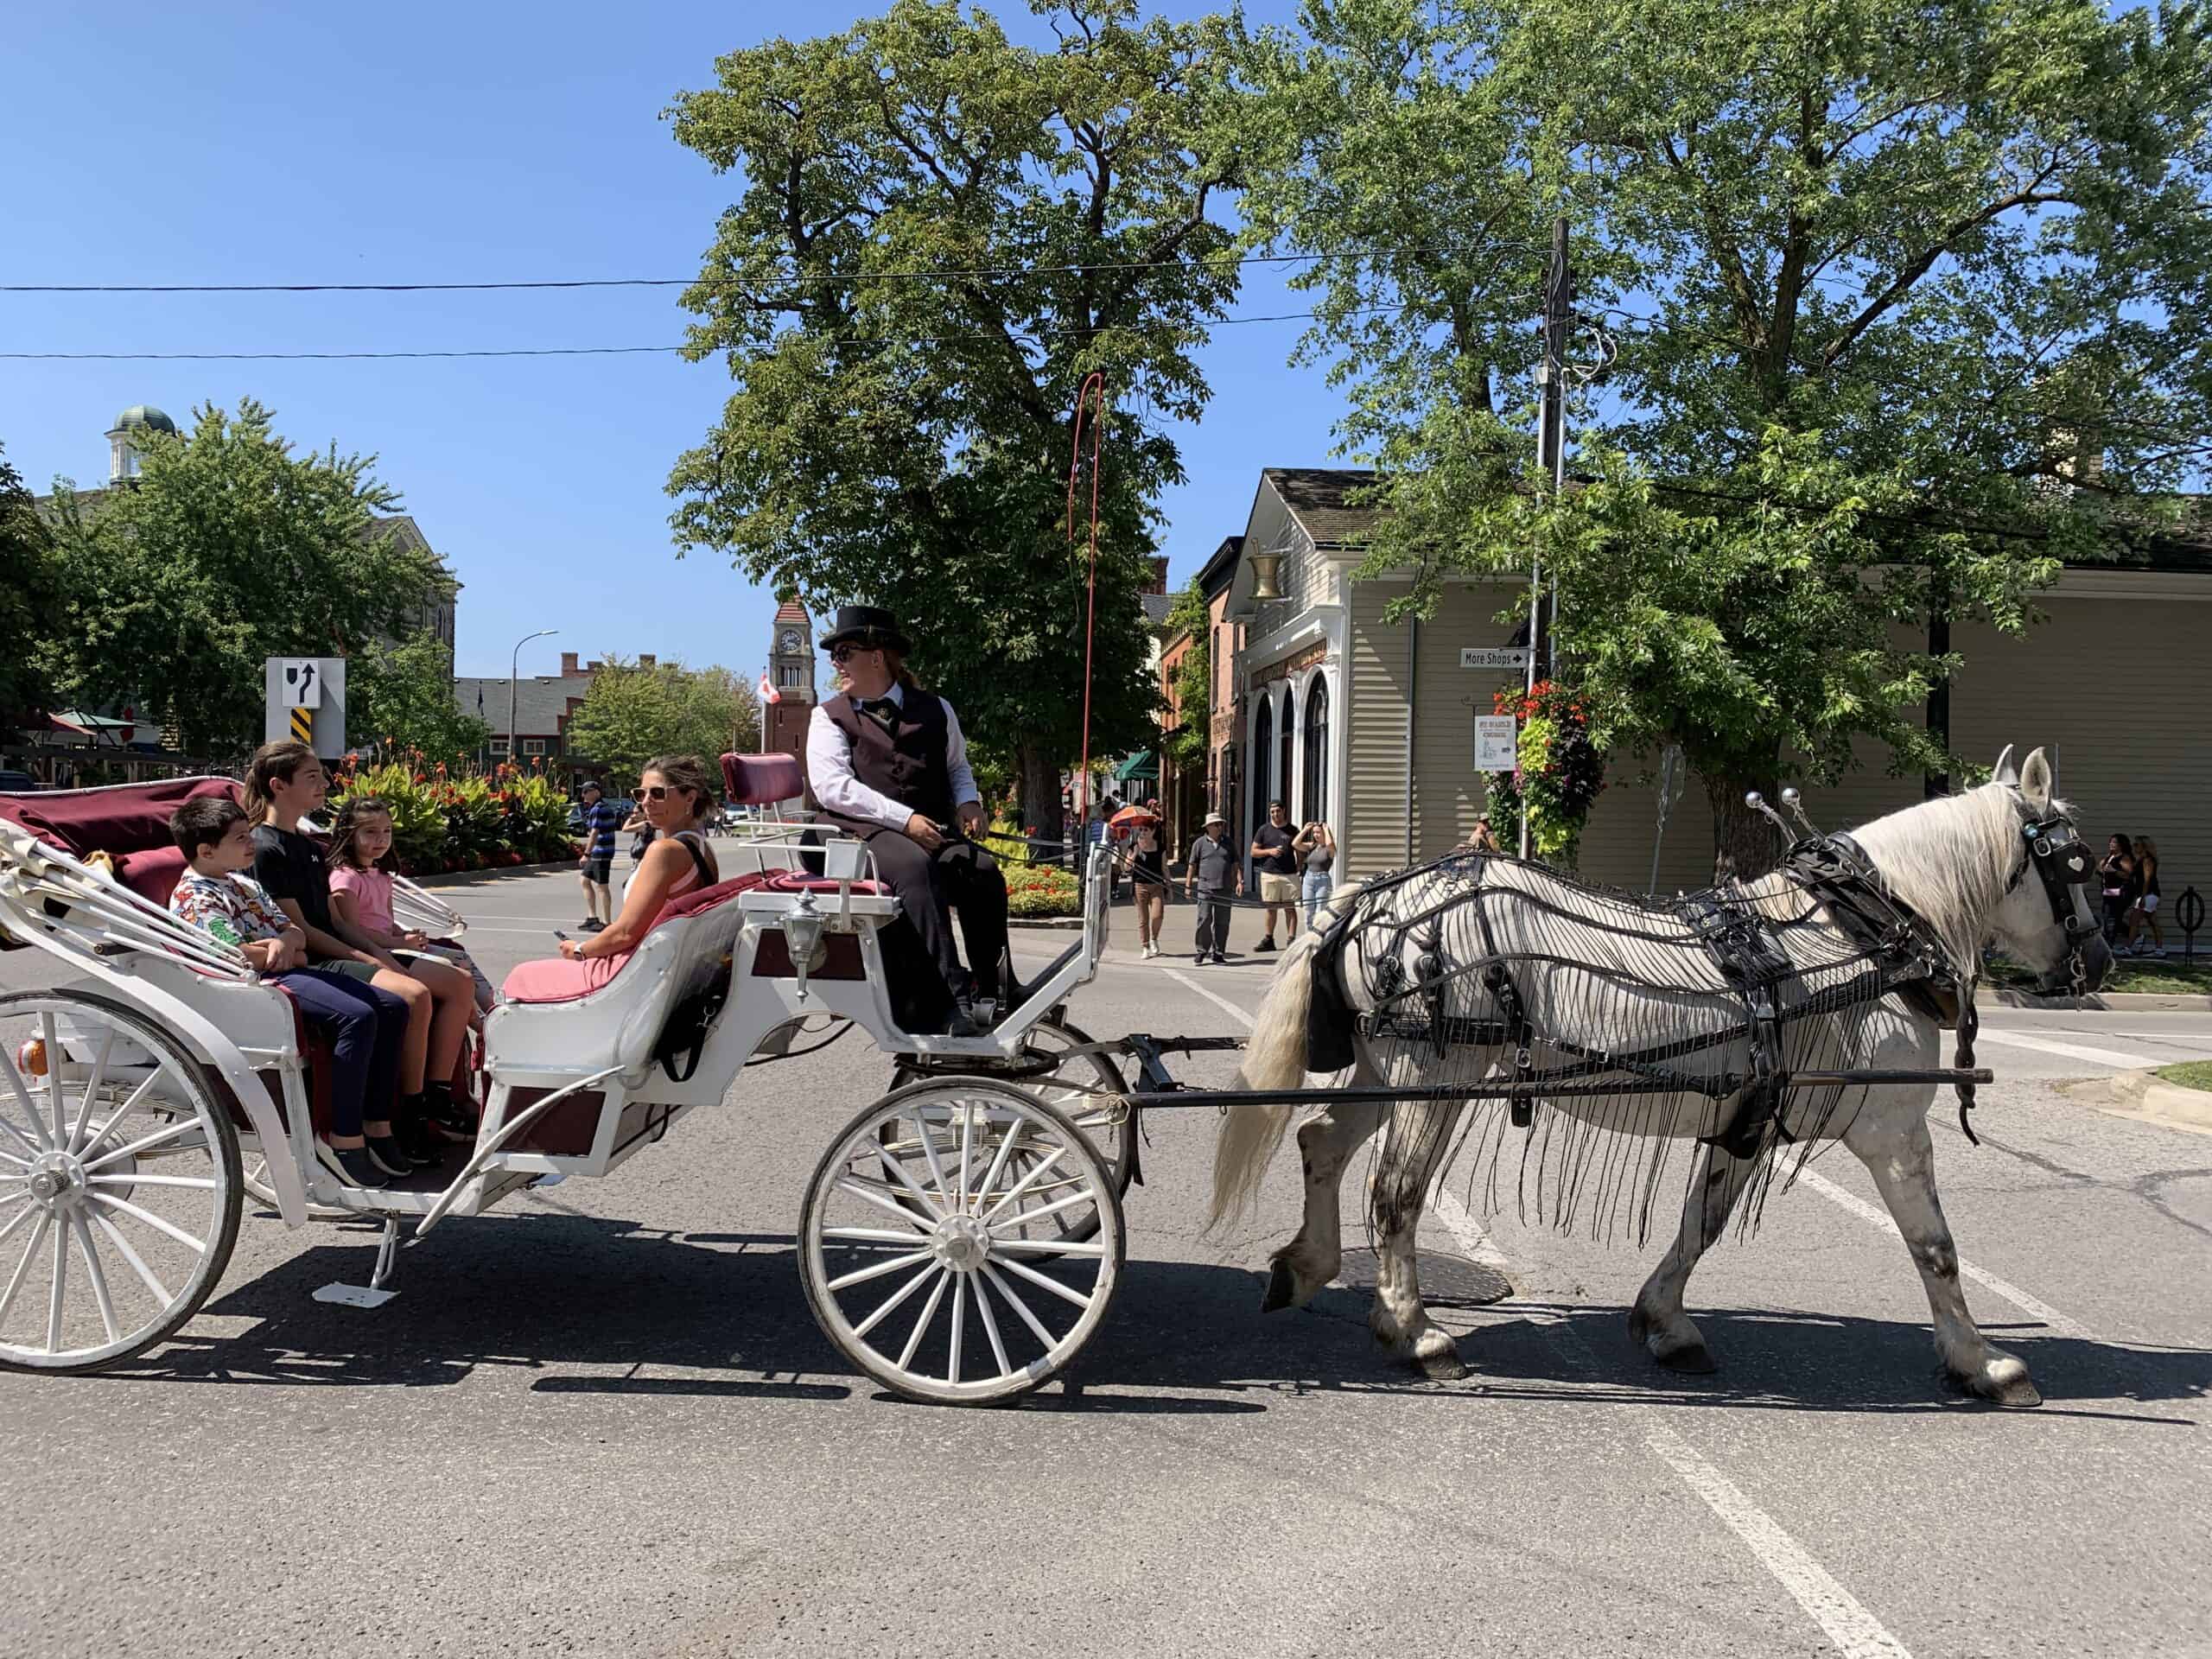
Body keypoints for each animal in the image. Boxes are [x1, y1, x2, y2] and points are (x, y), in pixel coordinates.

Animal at [1221, 747, 2114, 1407]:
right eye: (2074, 860)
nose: (2100, 960)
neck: (1861, 933)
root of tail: (1371, 900)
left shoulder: (1748, 1119)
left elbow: (1700, 1224)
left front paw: (1665, 1323)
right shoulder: (1891, 1131)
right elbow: (1936, 1249)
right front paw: (1981, 1361)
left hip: (1384, 1069)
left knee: (1321, 1144)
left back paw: (1306, 1267)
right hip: (1434, 1073)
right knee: (1395, 1193)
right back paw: (1415, 1333)